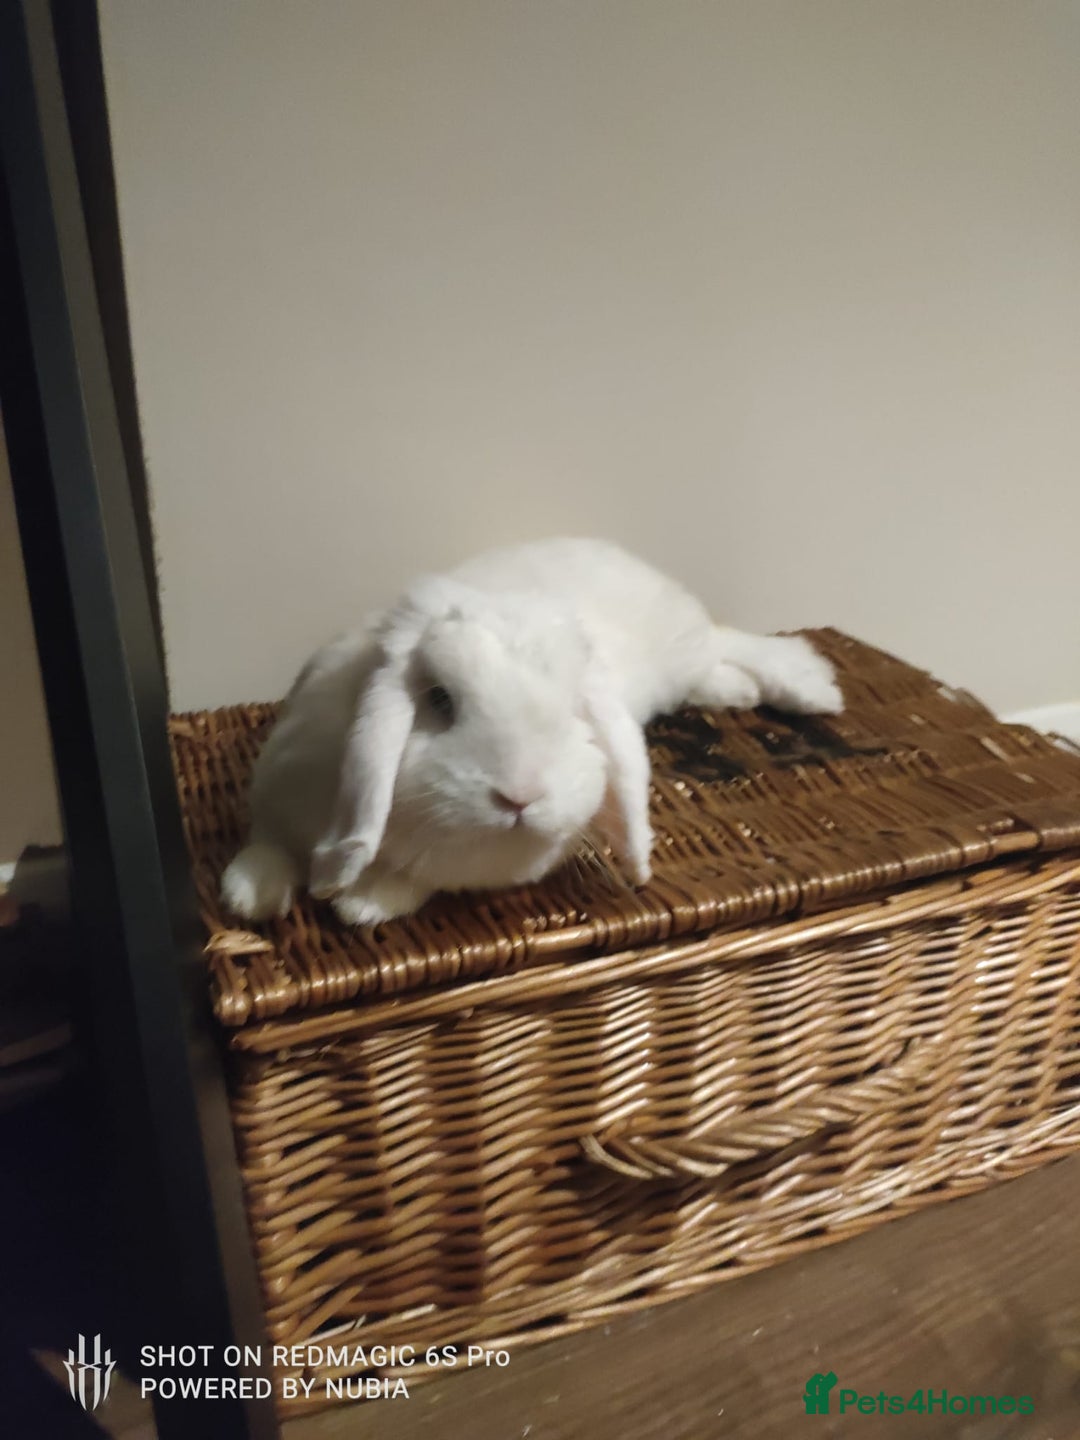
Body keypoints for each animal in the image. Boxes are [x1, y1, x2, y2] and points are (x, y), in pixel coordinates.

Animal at [221, 537, 842, 927]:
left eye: (574, 711)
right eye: (440, 699)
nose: (519, 796)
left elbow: (416, 878)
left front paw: (365, 902)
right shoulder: (279, 789)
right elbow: (265, 840)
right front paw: (251, 895)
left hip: (679, 645)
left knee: (730, 640)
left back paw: (809, 687)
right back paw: (738, 691)